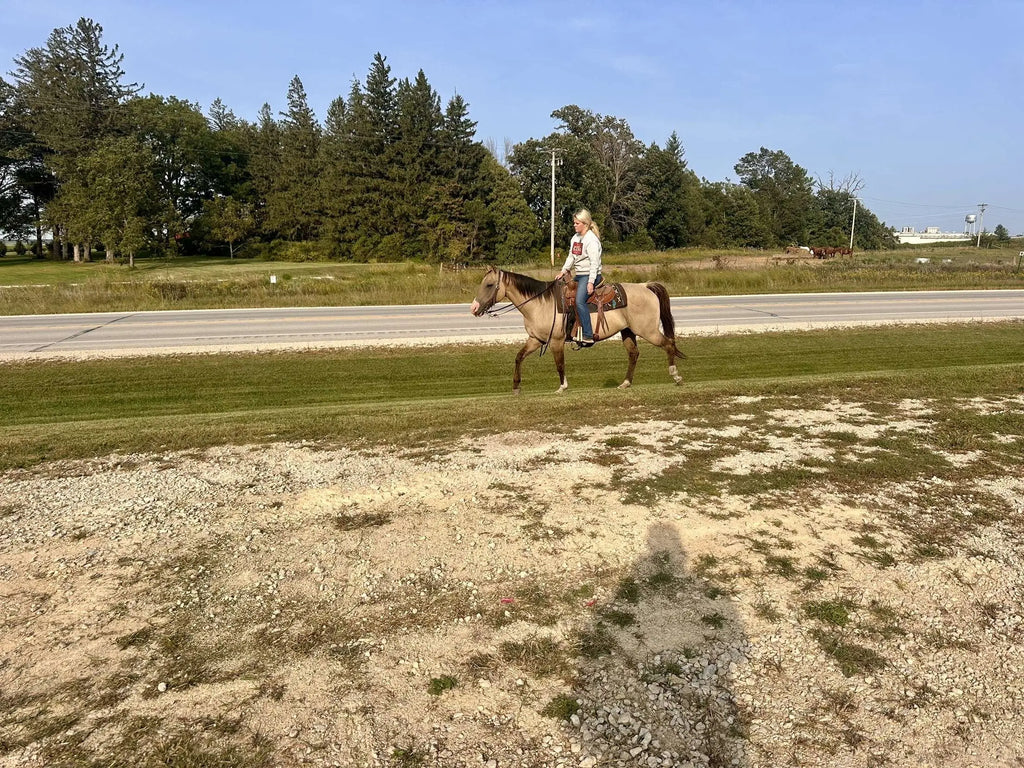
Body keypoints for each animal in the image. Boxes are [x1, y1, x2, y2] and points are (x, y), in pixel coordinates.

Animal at [470, 267, 685, 394]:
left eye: (489, 285)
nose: (474, 308)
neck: (541, 303)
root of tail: (645, 286)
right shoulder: (536, 339)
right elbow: (519, 357)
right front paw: (515, 386)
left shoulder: (555, 341)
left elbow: (559, 364)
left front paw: (562, 386)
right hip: (628, 331)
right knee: (634, 354)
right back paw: (625, 383)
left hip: (647, 330)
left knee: (668, 344)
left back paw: (676, 376)